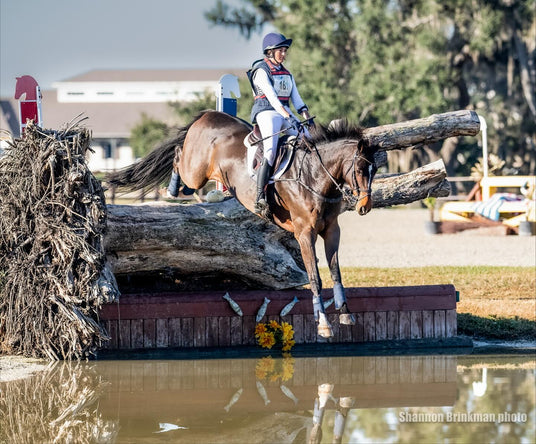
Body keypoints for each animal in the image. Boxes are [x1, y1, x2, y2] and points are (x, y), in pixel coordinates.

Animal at [107, 110, 378, 338]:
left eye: (375, 169)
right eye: (360, 169)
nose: (365, 207)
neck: (315, 176)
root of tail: (207, 114)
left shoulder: (331, 230)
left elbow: (335, 272)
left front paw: (345, 313)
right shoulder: (304, 233)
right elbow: (315, 277)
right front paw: (323, 324)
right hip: (196, 171)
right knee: (177, 156)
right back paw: (173, 189)